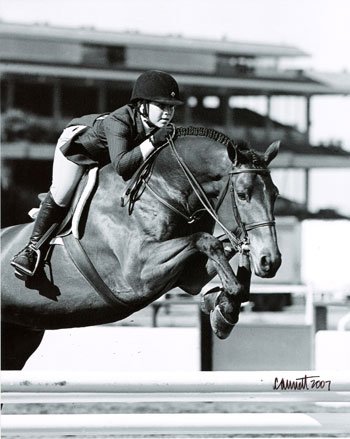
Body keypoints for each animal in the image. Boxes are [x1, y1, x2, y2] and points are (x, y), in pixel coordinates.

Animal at [0, 127, 282, 372]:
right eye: (243, 194)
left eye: (275, 194)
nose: (271, 260)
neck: (162, 190)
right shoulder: (138, 275)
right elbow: (206, 240)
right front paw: (224, 309)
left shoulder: (188, 276)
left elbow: (219, 251)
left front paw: (222, 305)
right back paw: (25, 260)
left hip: (19, 337)